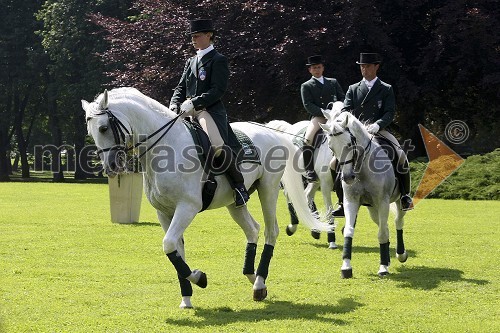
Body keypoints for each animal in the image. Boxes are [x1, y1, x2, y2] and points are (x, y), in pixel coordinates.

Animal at [82, 87, 332, 308]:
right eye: (92, 132)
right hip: (235, 202)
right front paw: (187, 299)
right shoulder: (164, 212)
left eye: (103, 128)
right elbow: (175, 250)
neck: (166, 149)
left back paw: (259, 283)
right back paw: (251, 276)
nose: (111, 167)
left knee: (271, 231)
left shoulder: (187, 207)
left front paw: (199, 278)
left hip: (268, 190)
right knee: (252, 229)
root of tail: (271, 132)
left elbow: (169, 244)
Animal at [318, 109, 408, 278]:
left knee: (397, 221)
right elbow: (349, 230)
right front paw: (346, 267)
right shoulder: (351, 201)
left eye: (349, 144)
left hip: (398, 201)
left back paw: (401, 254)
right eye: (331, 148)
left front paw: (383, 268)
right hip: (373, 209)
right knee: (384, 225)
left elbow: (382, 233)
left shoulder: (383, 201)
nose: (347, 177)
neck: (362, 168)